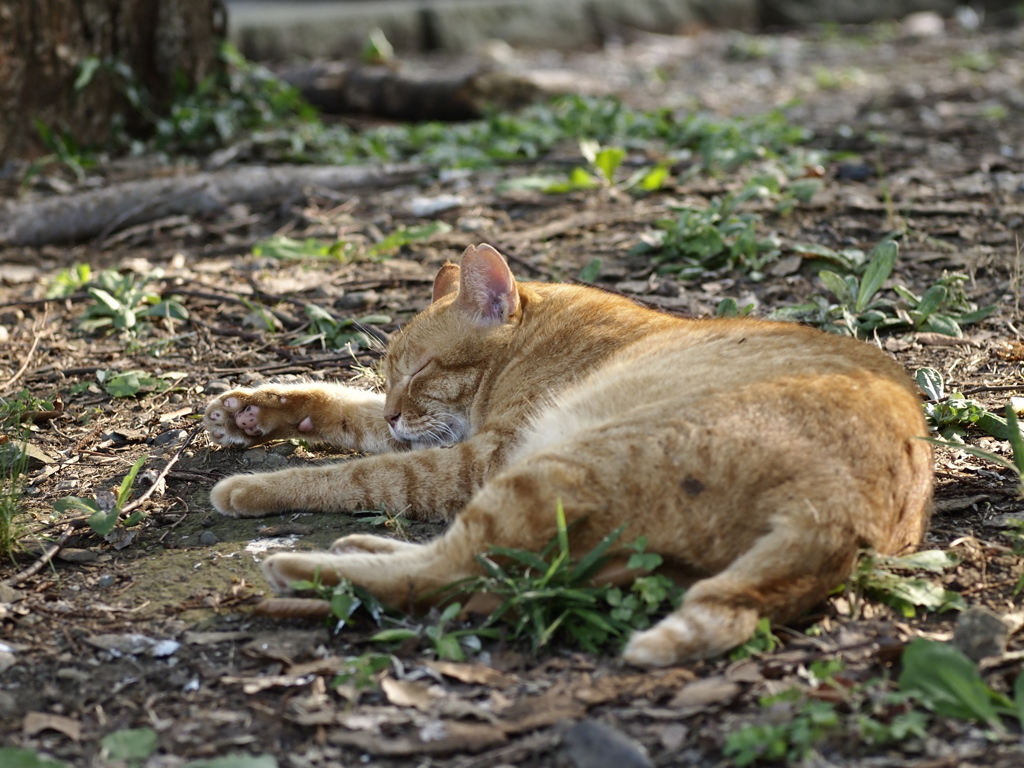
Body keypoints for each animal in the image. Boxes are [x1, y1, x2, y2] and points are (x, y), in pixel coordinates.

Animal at [203, 244, 933, 667]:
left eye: (422, 370)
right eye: (389, 375)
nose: (394, 410)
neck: (539, 337)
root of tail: (841, 507)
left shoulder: (476, 459)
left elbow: (360, 473)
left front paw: (254, 488)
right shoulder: (443, 438)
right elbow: (344, 412)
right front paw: (254, 412)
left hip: (560, 468)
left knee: (449, 570)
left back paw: (306, 567)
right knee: (498, 573)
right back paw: (359, 548)